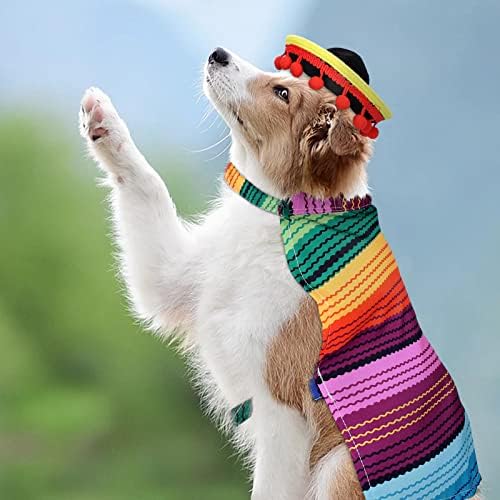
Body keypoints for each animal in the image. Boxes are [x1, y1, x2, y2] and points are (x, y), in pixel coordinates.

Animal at [79, 42, 481, 499]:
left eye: (282, 93)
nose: (218, 53)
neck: (282, 214)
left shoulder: (282, 411)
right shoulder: (172, 278)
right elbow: (148, 186)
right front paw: (102, 120)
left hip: (337, 467)